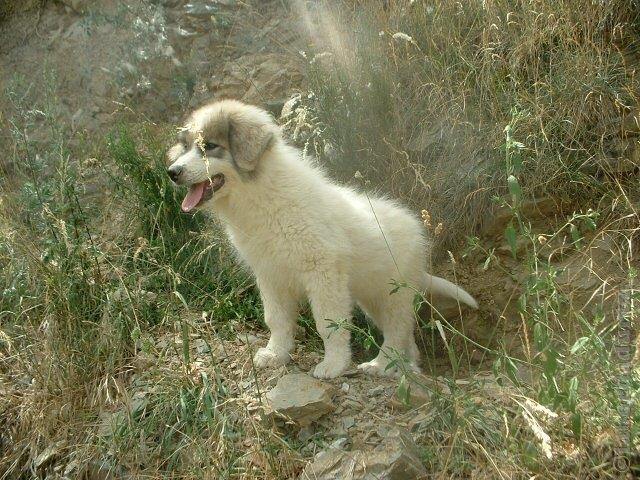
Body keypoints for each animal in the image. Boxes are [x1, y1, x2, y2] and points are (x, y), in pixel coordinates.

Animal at [168, 100, 478, 378]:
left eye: (209, 146)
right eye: (185, 147)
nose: (172, 172)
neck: (260, 195)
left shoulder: (322, 273)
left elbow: (329, 324)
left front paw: (334, 365)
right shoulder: (270, 275)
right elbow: (276, 320)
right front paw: (276, 354)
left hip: (393, 294)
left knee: (396, 329)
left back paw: (381, 364)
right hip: (372, 298)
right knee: (406, 337)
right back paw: (404, 366)